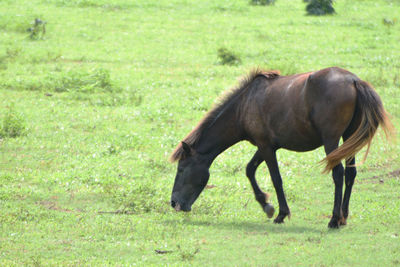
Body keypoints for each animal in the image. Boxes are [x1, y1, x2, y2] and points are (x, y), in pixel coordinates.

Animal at [169, 67, 394, 228]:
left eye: (181, 169)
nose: (174, 203)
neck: (244, 105)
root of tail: (354, 81)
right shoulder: (266, 146)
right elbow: (250, 170)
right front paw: (266, 205)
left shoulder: (266, 147)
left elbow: (276, 179)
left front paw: (280, 214)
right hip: (349, 139)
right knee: (350, 174)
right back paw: (344, 217)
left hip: (332, 140)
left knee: (338, 174)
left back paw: (334, 219)